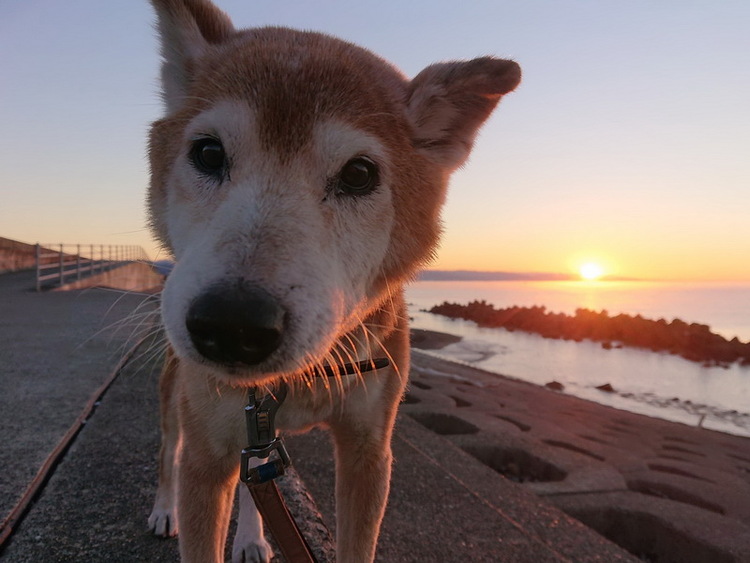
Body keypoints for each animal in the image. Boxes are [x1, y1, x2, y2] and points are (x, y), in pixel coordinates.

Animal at [145, 1, 520, 561]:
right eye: (209, 154)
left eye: (359, 175)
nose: (232, 323)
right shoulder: (207, 452)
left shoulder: (369, 447)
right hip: (177, 391)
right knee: (168, 447)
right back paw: (164, 508)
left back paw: (253, 538)